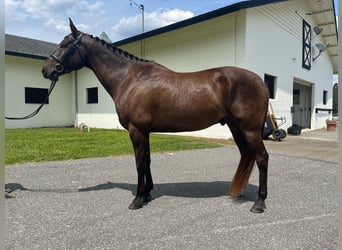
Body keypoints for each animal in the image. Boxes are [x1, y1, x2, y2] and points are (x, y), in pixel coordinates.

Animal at [42, 18, 270, 213]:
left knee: (261, 158)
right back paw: (239, 193)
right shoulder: (145, 131)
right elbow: (148, 160)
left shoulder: (136, 130)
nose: (46, 70)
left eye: (64, 44)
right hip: (236, 127)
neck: (130, 78)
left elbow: (139, 162)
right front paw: (147, 194)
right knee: (247, 155)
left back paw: (259, 203)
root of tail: (260, 81)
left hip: (249, 129)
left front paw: (137, 199)